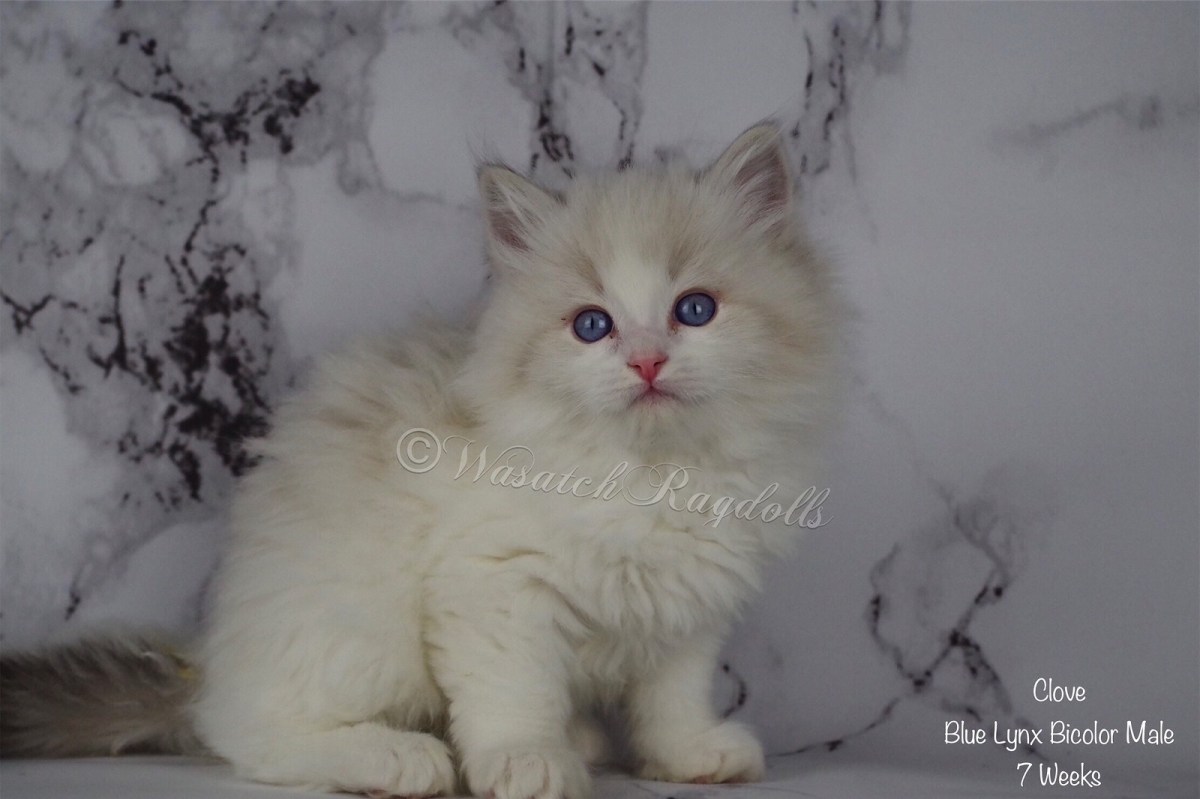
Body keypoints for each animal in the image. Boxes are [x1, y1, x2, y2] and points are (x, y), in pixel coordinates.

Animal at [1, 124, 842, 799]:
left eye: (694, 310)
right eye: (591, 326)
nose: (646, 363)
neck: (649, 473)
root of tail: (211, 657)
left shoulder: (691, 605)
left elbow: (672, 696)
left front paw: (689, 755)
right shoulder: (495, 585)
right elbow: (513, 694)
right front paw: (526, 761)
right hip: (362, 629)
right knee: (250, 731)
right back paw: (400, 759)